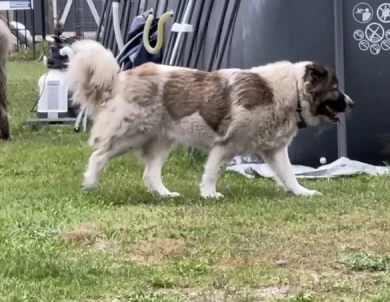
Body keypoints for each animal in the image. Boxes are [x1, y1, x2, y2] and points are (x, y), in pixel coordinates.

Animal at [66, 39, 354, 198]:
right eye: (335, 88)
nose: (351, 104)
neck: (290, 92)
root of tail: (121, 77)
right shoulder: (227, 144)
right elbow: (213, 171)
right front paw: (209, 194)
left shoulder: (274, 151)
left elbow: (289, 175)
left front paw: (302, 192)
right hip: (131, 134)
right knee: (99, 155)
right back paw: (90, 184)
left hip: (162, 140)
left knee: (150, 174)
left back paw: (166, 195)